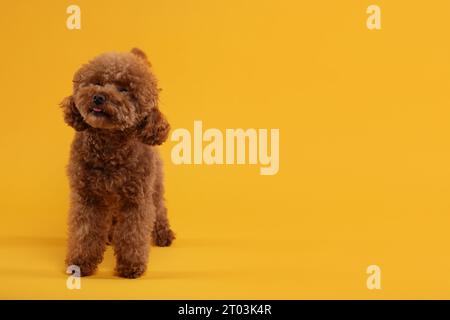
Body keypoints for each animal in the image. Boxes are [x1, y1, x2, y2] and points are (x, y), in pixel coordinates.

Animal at [61, 47, 176, 278]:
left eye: (124, 90)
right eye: (96, 82)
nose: (98, 97)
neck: (109, 148)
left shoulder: (136, 199)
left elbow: (133, 234)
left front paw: (131, 266)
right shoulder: (88, 197)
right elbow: (85, 232)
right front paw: (81, 263)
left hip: (155, 185)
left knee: (159, 207)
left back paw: (163, 233)